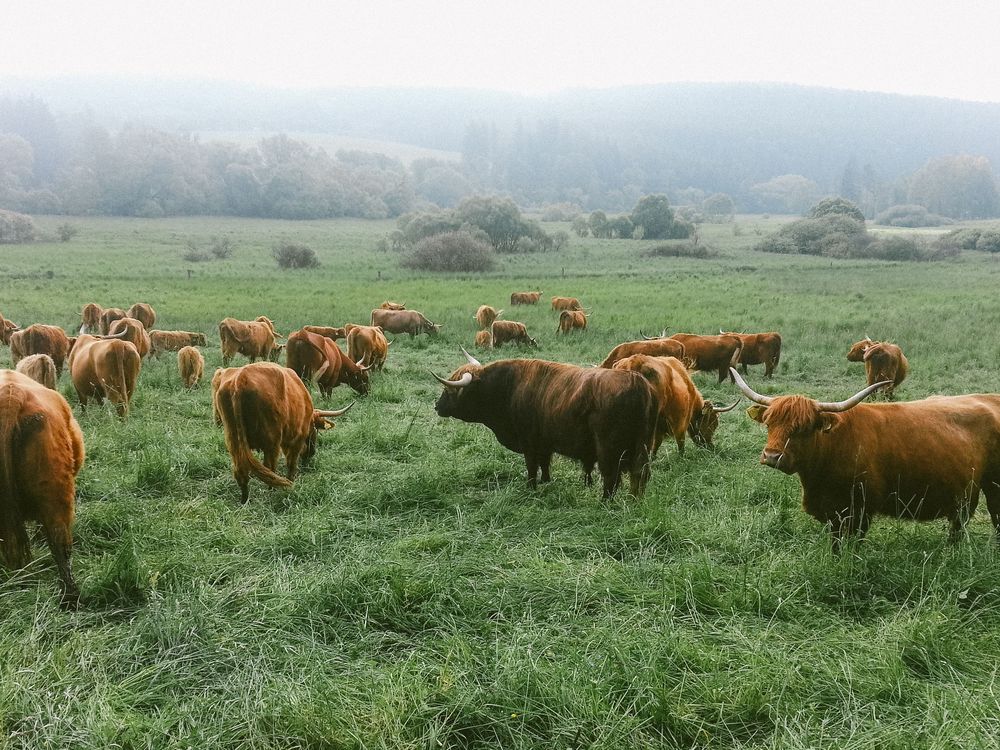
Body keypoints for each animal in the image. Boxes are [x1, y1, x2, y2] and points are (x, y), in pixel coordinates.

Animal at [211, 362, 353, 502]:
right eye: (315, 429)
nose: (311, 453)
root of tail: (239, 379)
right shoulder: (295, 439)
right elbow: (291, 464)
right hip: (272, 441)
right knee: (270, 468)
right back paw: (272, 491)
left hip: (234, 440)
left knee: (242, 472)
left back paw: (244, 501)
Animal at [433, 350, 657, 498]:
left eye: (450, 390)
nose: (437, 406)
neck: (509, 387)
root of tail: (636, 381)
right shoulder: (544, 442)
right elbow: (544, 463)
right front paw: (546, 481)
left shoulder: (528, 441)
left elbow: (532, 466)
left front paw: (531, 487)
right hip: (642, 446)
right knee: (640, 473)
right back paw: (635, 500)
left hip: (608, 449)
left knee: (611, 477)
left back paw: (605, 502)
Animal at [732, 368, 1000, 551]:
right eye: (769, 423)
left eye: (804, 428)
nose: (771, 456)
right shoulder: (833, 514)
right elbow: (836, 544)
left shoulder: (861, 509)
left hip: (989, 486)